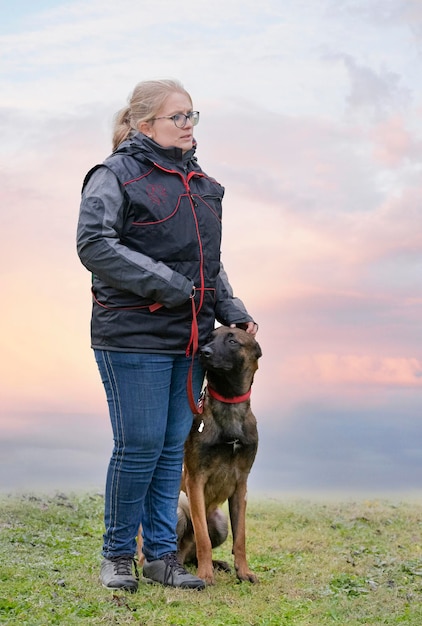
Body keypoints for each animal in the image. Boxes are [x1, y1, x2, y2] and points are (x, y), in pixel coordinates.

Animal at [177, 324, 260, 584]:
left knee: (189, 554)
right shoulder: (195, 481)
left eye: (233, 341)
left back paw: (217, 564)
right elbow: (202, 536)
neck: (229, 403)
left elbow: (240, 537)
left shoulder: (241, 485)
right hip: (180, 507)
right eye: (209, 338)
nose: (203, 351)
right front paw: (205, 575)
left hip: (220, 522)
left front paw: (243, 571)